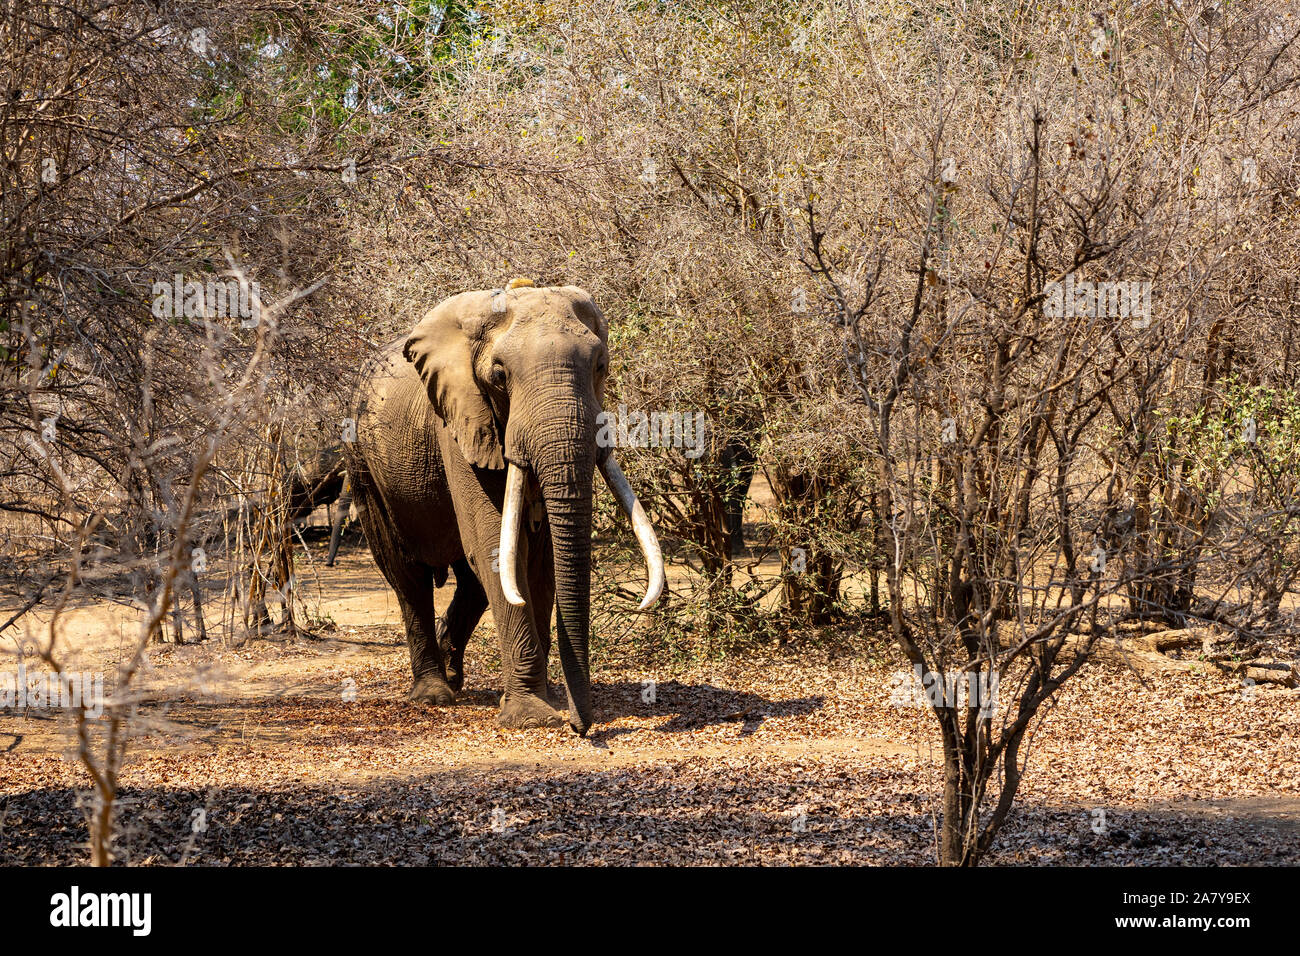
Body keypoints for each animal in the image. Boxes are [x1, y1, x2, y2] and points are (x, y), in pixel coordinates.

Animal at [345, 280, 665, 738]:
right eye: (499, 376)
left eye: (601, 366)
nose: (580, 728)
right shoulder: (459, 422)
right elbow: (496, 545)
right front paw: (532, 717)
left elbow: (540, 558)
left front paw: (548, 701)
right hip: (362, 465)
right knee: (408, 576)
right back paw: (434, 695)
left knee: (470, 580)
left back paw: (454, 676)